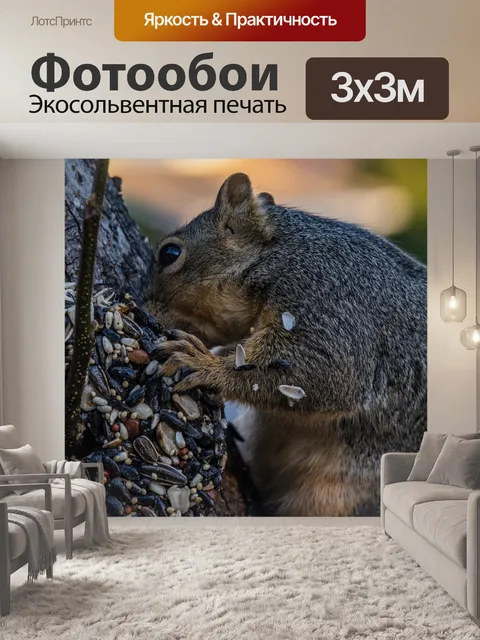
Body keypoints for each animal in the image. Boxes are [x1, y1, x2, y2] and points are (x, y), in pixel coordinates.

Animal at [147, 172, 427, 517]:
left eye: (169, 254)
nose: (145, 307)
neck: (279, 256)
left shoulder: (331, 305)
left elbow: (322, 374)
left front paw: (202, 362)